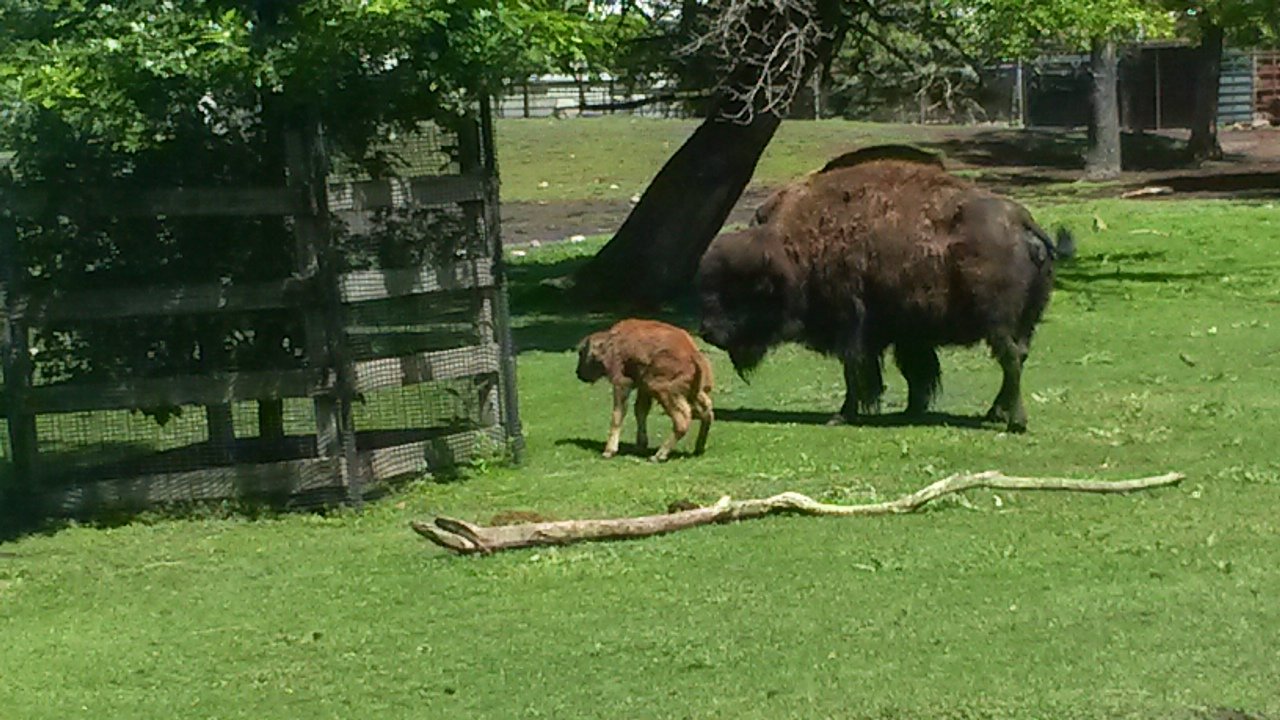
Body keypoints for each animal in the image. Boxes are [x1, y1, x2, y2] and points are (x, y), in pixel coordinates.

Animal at [696, 157, 1073, 432]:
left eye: (741, 290)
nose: (707, 331)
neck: (793, 250)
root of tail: (1023, 222)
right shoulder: (904, 334)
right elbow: (915, 371)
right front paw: (910, 409)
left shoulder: (852, 328)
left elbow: (857, 372)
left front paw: (842, 415)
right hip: (1023, 323)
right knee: (1017, 359)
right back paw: (997, 413)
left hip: (998, 324)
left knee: (1010, 359)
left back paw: (1014, 422)